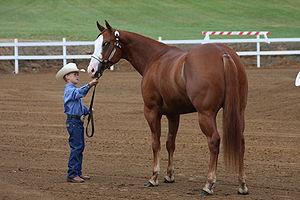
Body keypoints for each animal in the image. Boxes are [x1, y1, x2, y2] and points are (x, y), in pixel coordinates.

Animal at [88, 21, 250, 196]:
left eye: (105, 43)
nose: (91, 70)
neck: (155, 59)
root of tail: (223, 54)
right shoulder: (173, 114)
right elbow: (170, 143)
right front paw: (169, 175)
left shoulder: (151, 111)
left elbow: (156, 143)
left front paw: (154, 177)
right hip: (239, 111)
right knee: (241, 142)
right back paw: (242, 184)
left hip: (205, 114)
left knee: (214, 141)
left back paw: (208, 184)